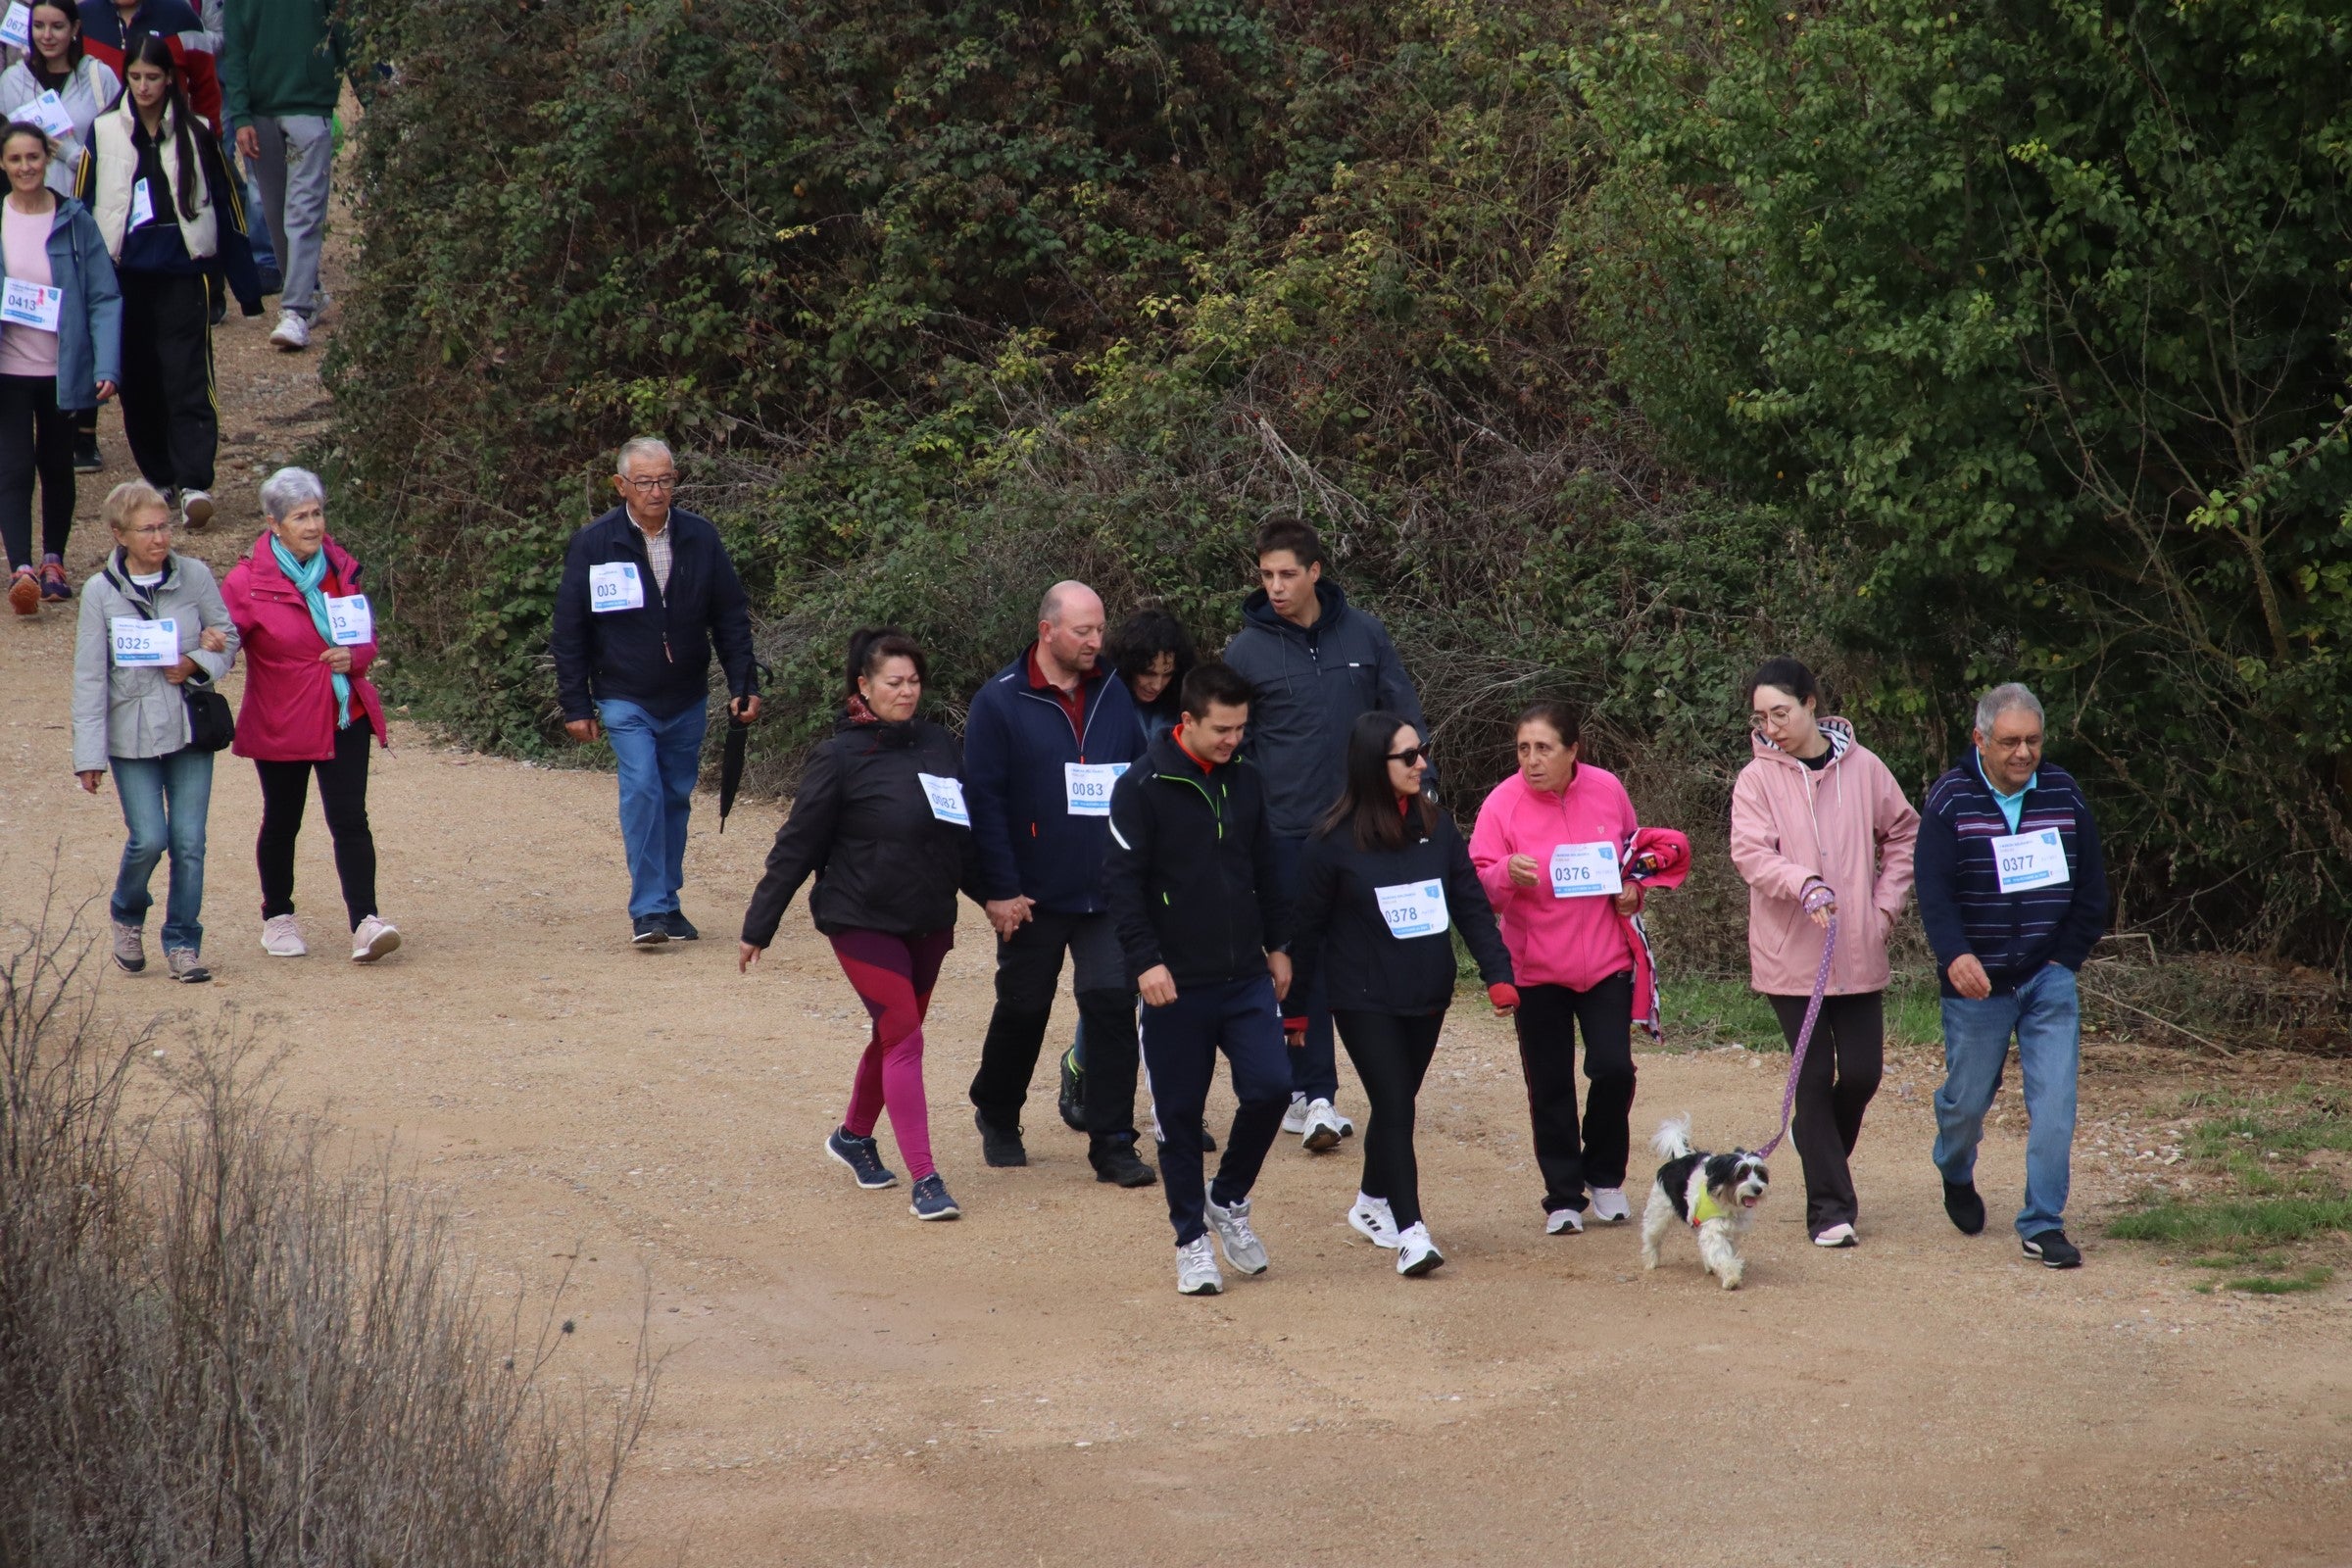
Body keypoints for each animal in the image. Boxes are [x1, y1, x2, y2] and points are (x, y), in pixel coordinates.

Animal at [1646, 1109, 1768, 1298]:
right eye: (1741, 1174)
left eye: (1759, 1174)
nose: (1758, 1189)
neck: (1726, 1201)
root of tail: (1679, 1158)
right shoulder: (1714, 1231)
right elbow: (1722, 1256)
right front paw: (1731, 1278)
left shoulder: (1730, 1232)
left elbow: (1724, 1253)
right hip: (1659, 1213)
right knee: (1652, 1236)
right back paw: (1651, 1260)